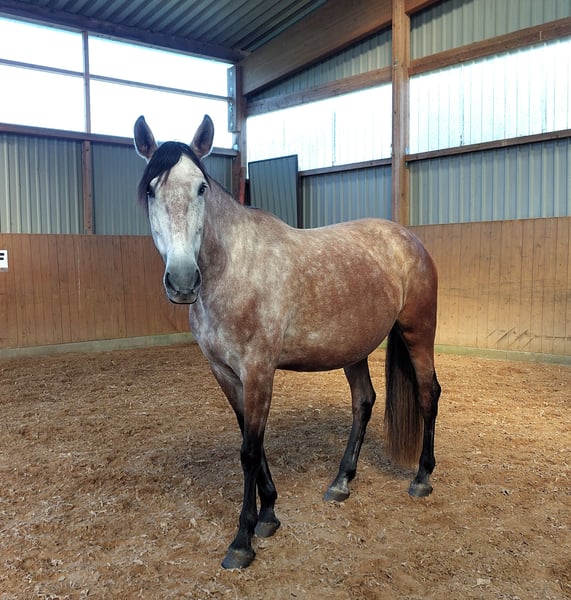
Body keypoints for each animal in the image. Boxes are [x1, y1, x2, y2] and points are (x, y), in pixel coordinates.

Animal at [133, 114, 441, 570]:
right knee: (364, 402)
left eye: (201, 187)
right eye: (151, 189)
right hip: (353, 348)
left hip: (418, 332)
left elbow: (248, 450)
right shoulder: (226, 374)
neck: (233, 268)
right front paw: (269, 515)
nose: (183, 279)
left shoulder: (259, 370)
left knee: (427, 394)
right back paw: (341, 482)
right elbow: (252, 441)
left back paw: (421, 478)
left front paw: (242, 540)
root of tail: (408, 239)